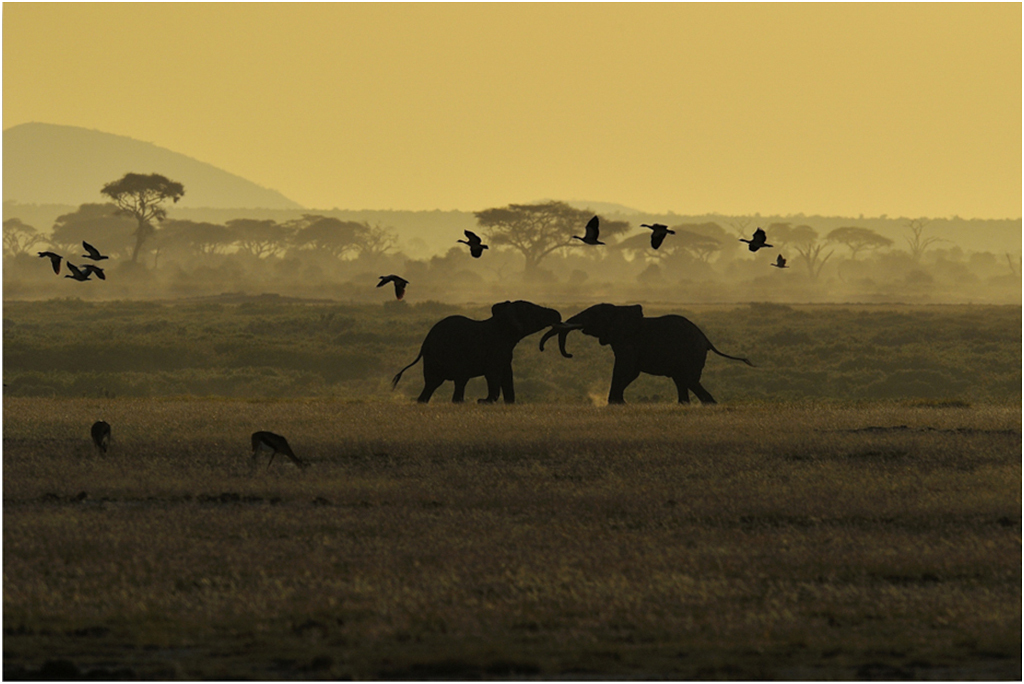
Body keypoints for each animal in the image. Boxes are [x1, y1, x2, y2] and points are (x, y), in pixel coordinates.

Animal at [389, 296, 561, 403]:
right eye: (530, 312)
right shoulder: (493, 351)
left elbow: (507, 376)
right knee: (446, 381)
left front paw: (509, 403)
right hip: (442, 357)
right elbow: (493, 376)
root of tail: (424, 344)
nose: (556, 316)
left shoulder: (505, 355)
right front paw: (483, 401)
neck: (500, 322)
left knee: (436, 384)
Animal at [544, 303, 753, 403]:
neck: (619, 309)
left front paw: (616, 403)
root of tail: (707, 339)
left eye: (593, 316)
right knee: (682, 380)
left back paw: (709, 405)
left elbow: (624, 369)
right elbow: (630, 372)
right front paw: (619, 403)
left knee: (689, 380)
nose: (569, 355)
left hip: (691, 354)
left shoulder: (628, 342)